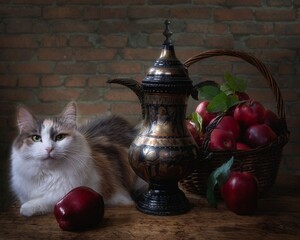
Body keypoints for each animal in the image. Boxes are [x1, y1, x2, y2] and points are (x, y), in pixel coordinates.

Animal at [10, 102, 144, 217]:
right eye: (36, 138)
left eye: (60, 137)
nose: (49, 149)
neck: (50, 174)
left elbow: (51, 199)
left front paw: (27, 208)